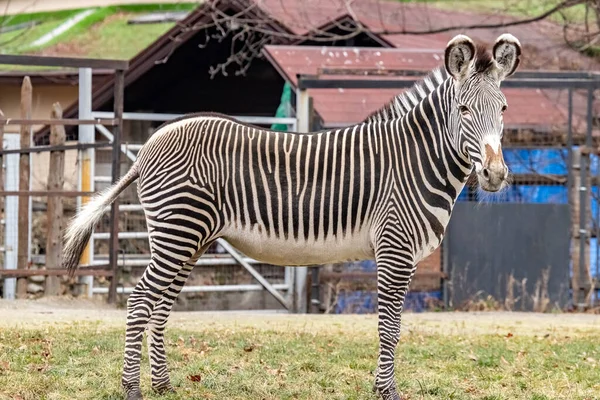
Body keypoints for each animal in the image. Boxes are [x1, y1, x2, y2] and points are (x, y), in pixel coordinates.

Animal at [62, 34, 520, 400]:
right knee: (141, 299)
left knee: (160, 305)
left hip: (190, 239)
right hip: (178, 233)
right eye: (463, 109)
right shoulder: (395, 247)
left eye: (503, 109)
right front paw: (387, 391)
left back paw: (163, 385)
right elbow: (390, 325)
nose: (495, 175)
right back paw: (132, 388)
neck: (417, 159)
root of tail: (152, 141)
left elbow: (391, 325)